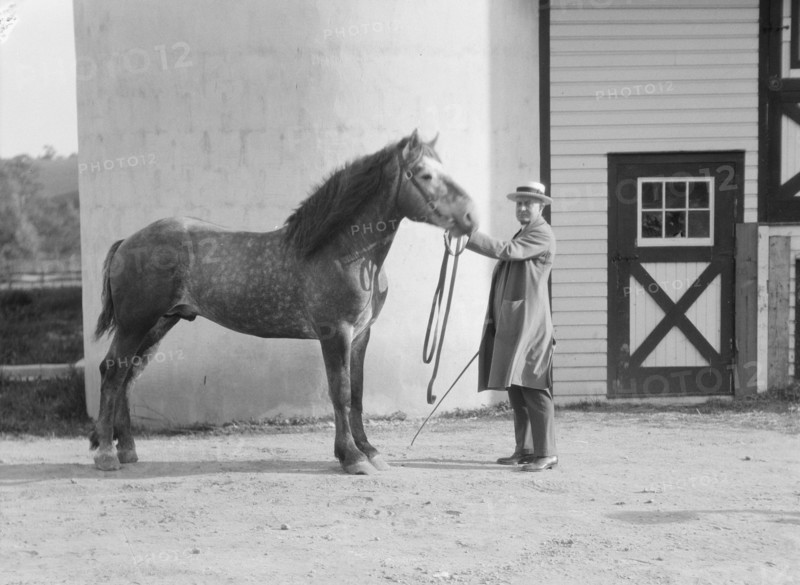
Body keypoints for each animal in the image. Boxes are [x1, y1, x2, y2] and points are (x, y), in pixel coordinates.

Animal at [90, 129, 478, 475]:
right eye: (425, 175)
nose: (471, 218)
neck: (343, 252)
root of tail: (127, 241)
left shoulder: (361, 335)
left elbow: (357, 395)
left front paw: (371, 452)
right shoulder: (335, 333)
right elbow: (340, 392)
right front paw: (352, 458)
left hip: (159, 324)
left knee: (128, 376)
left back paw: (127, 450)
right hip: (135, 324)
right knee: (112, 372)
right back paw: (106, 455)